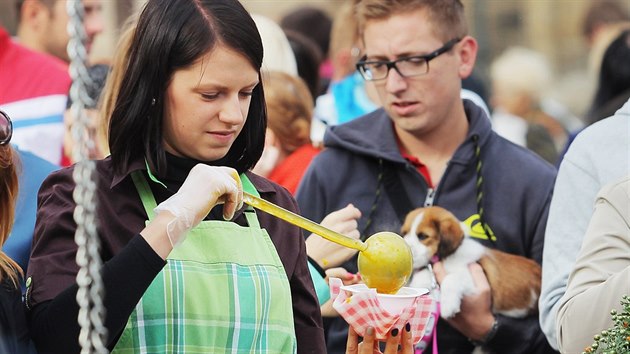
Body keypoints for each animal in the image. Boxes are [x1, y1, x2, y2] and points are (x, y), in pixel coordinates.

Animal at [404, 205, 544, 318]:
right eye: (404, 233)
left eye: (423, 236)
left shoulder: (475, 283)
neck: (447, 258)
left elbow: (451, 278)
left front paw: (448, 306)